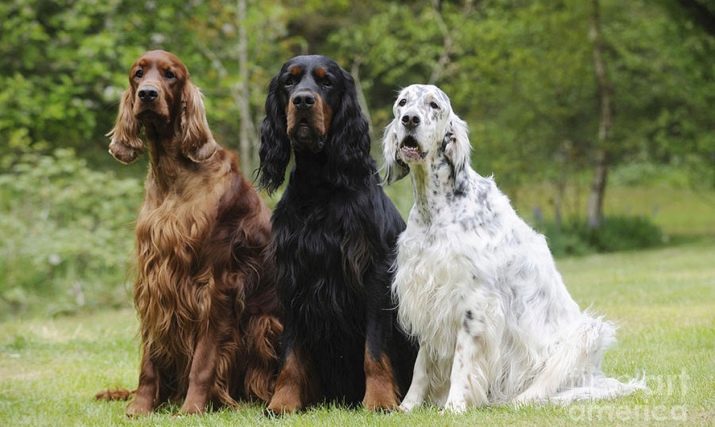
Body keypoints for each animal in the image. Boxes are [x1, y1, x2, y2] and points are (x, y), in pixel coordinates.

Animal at [101, 50, 282, 415]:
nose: (148, 95)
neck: (174, 175)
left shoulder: (215, 283)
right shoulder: (155, 280)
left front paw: (193, 408)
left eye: (170, 75)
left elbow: (204, 359)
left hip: (265, 323)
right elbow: (149, 359)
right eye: (138, 73)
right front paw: (141, 407)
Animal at [257, 55, 417, 413]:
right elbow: (291, 353)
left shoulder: (374, 275)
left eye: (326, 81)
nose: (303, 100)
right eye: (289, 81)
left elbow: (374, 348)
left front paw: (380, 400)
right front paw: (283, 402)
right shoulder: (293, 276)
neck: (321, 187)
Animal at [383, 84, 645, 412]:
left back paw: (517, 401)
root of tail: (594, 379)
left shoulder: (474, 303)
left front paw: (454, 406)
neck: (437, 210)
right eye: (402, 102)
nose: (409, 119)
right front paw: (408, 406)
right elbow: (422, 365)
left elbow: (461, 363)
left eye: (434, 105)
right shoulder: (427, 295)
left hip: (585, 335)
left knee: (542, 389)